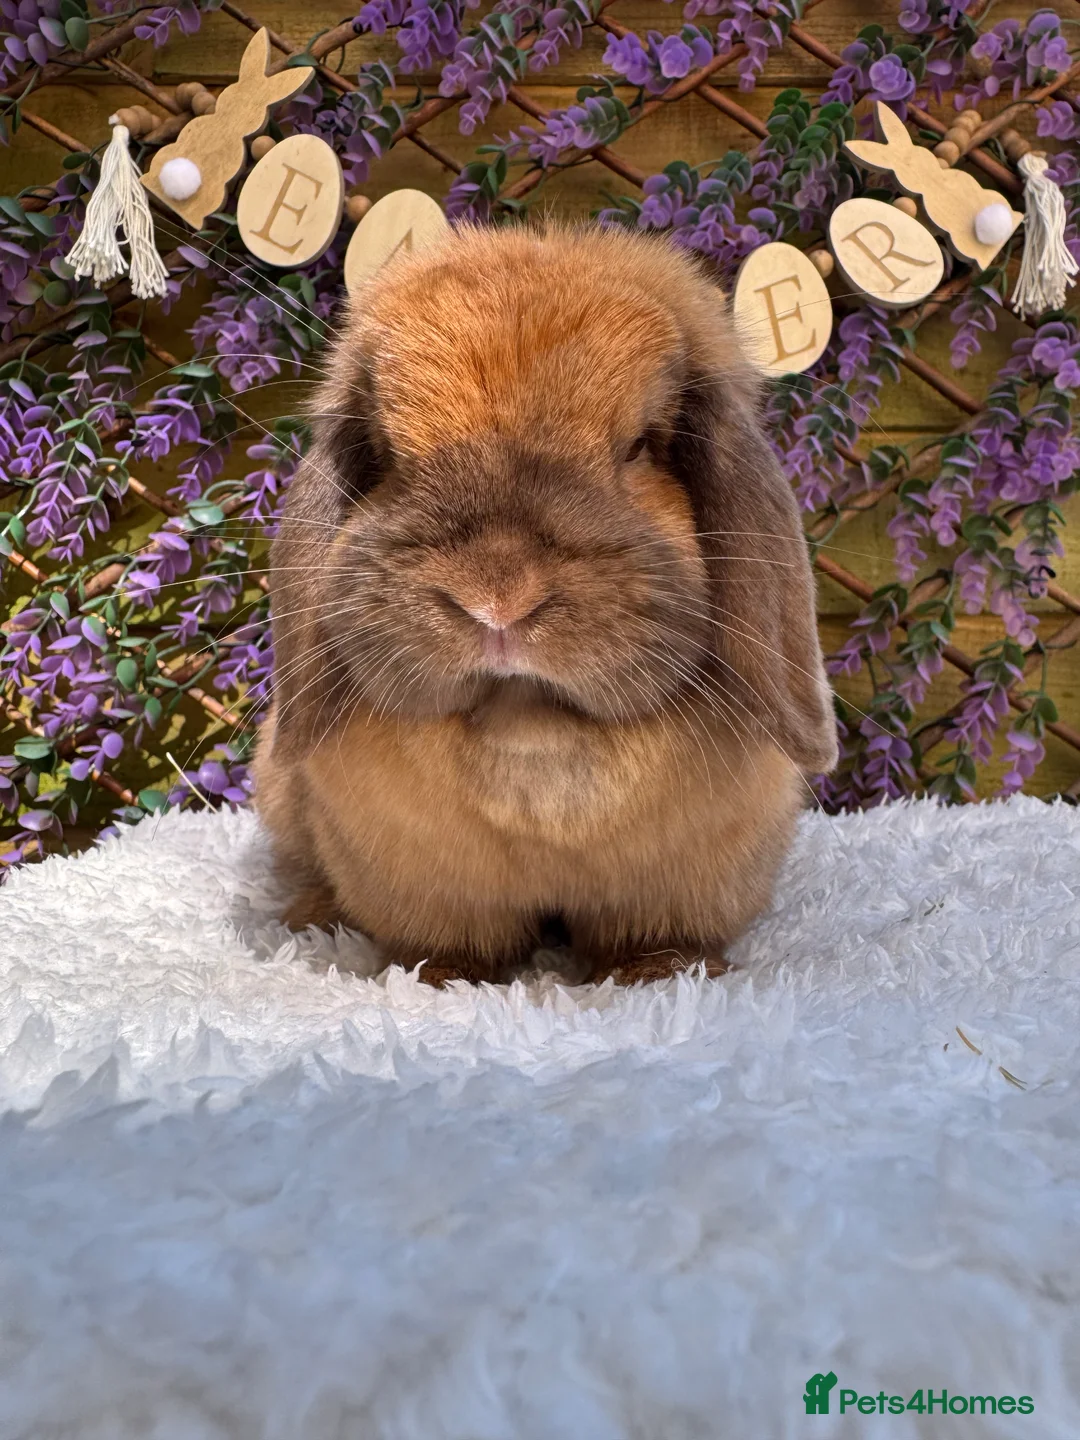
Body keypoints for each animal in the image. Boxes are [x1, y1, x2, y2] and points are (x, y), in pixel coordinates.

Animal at [252, 222, 838, 986]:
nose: (498, 600)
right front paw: (441, 978)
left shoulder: (676, 881)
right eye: (385, 454)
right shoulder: (426, 885)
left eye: (641, 447)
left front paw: (667, 973)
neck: (531, 736)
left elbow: (649, 937)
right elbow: (451, 944)